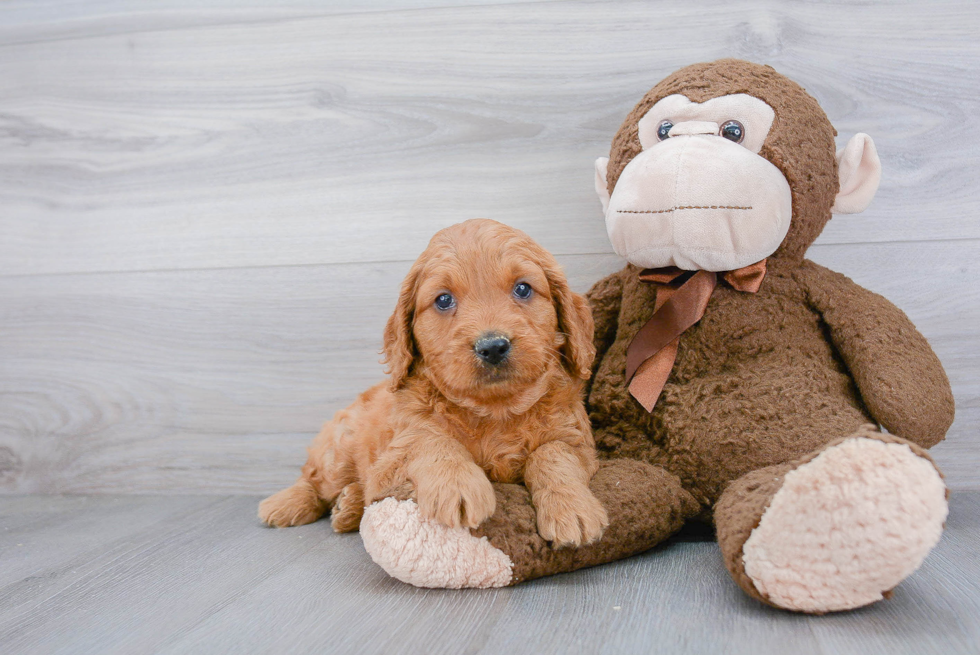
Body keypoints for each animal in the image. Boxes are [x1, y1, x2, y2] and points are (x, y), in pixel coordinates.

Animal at [262, 218, 612, 544]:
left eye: (523, 289)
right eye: (443, 300)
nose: (492, 346)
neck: (494, 411)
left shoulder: (577, 440)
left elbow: (552, 453)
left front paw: (571, 508)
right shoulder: (393, 457)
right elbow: (431, 440)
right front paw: (457, 485)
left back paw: (346, 507)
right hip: (337, 451)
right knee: (314, 480)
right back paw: (286, 504)